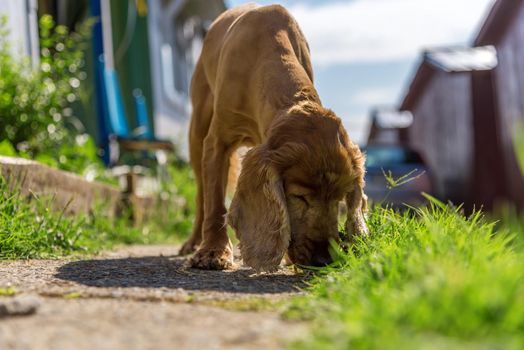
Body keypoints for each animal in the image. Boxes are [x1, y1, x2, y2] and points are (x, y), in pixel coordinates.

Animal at [180, 4, 368, 270]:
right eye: (299, 196)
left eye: (339, 198)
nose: (323, 260)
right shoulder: (217, 141)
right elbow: (214, 202)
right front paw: (213, 252)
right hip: (197, 129)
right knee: (201, 195)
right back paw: (194, 242)